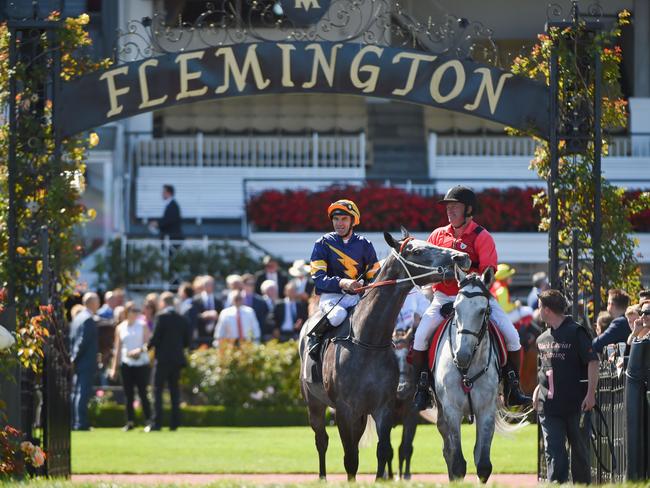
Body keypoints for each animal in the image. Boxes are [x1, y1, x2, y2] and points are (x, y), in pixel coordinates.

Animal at [296, 230, 468, 480]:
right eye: (418, 251)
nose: (461, 257)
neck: (367, 341)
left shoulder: (382, 408)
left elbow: (384, 450)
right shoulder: (344, 409)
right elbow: (350, 457)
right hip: (315, 403)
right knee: (321, 440)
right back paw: (322, 477)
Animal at [430, 268, 502, 482]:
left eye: (482, 311)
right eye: (456, 309)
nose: (461, 355)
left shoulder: (486, 410)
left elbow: (483, 464)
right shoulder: (451, 410)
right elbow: (457, 464)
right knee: (448, 452)